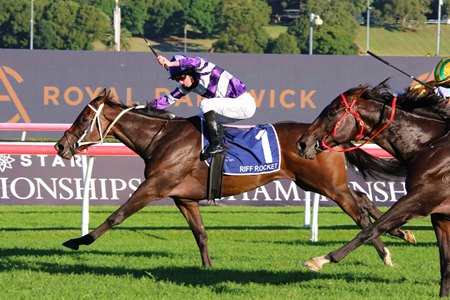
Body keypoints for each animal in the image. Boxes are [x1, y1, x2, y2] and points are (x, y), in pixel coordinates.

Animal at [54, 88, 414, 268]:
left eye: (83, 117)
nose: (60, 145)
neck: (162, 138)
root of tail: (325, 138)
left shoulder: (155, 186)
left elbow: (117, 215)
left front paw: (78, 240)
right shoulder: (184, 198)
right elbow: (200, 234)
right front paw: (208, 269)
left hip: (328, 185)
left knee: (358, 211)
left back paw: (384, 254)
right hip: (317, 183)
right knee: (363, 199)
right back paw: (402, 234)